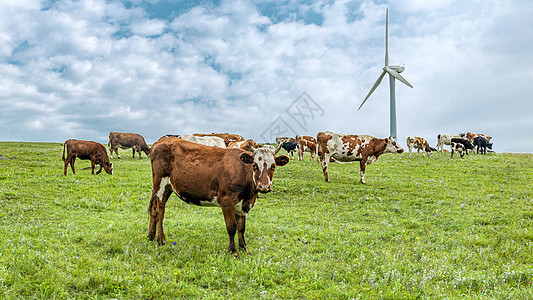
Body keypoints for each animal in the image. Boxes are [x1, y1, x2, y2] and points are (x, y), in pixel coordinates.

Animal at [145, 137, 288, 256]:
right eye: (254, 165)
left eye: (273, 166)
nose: (264, 187)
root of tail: (162, 140)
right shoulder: (227, 201)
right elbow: (231, 227)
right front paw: (233, 251)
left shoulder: (243, 205)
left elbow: (242, 228)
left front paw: (244, 249)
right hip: (161, 183)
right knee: (160, 211)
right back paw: (161, 240)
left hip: (167, 186)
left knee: (154, 210)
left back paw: (151, 237)